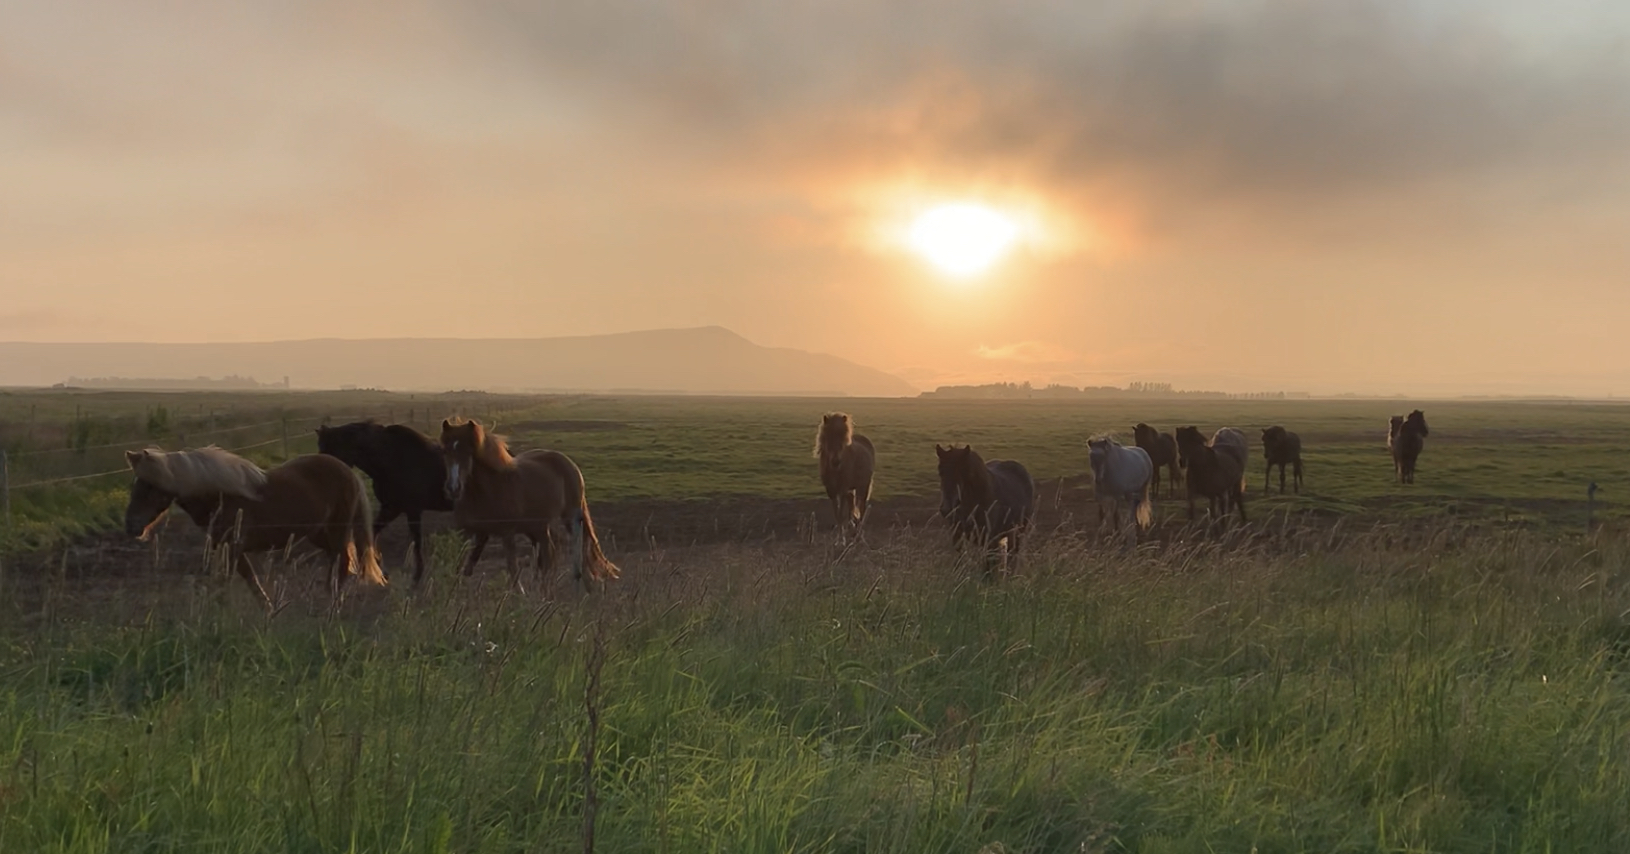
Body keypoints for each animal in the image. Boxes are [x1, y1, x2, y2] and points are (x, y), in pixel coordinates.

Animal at [123, 447, 385, 611]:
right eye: (136, 485)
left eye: (149, 487)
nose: (131, 526)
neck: (221, 495)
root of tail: (348, 472)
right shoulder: (231, 548)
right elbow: (250, 578)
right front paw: (268, 610)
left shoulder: (233, 547)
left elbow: (228, 580)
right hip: (319, 533)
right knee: (337, 560)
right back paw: (328, 595)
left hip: (336, 530)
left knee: (342, 562)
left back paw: (334, 604)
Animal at [317, 420, 453, 587]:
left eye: (330, 452)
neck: (393, 460)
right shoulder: (390, 508)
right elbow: (373, 532)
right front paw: (379, 567)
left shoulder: (411, 510)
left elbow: (417, 542)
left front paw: (417, 577)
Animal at [440, 418, 618, 594]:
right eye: (445, 451)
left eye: (468, 451)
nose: (453, 488)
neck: (486, 491)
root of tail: (568, 463)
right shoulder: (470, 533)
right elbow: (462, 567)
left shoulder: (507, 533)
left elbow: (512, 570)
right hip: (538, 527)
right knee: (549, 555)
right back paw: (546, 592)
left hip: (570, 517)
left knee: (577, 550)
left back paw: (585, 589)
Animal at [813, 412, 875, 544]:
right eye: (829, 436)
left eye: (844, 437)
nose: (836, 462)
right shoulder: (831, 491)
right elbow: (837, 514)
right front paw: (840, 538)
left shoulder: (842, 490)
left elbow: (841, 514)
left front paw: (841, 540)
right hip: (851, 490)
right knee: (852, 505)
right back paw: (853, 528)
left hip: (863, 486)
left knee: (862, 508)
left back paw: (858, 534)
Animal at [935, 444, 1036, 579]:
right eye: (940, 471)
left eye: (962, 471)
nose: (947, 508)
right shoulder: (957, 534)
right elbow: (959, 560)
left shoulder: (989, 539)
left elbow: (988, 567)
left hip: (1017, 532)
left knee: (1011, 555)